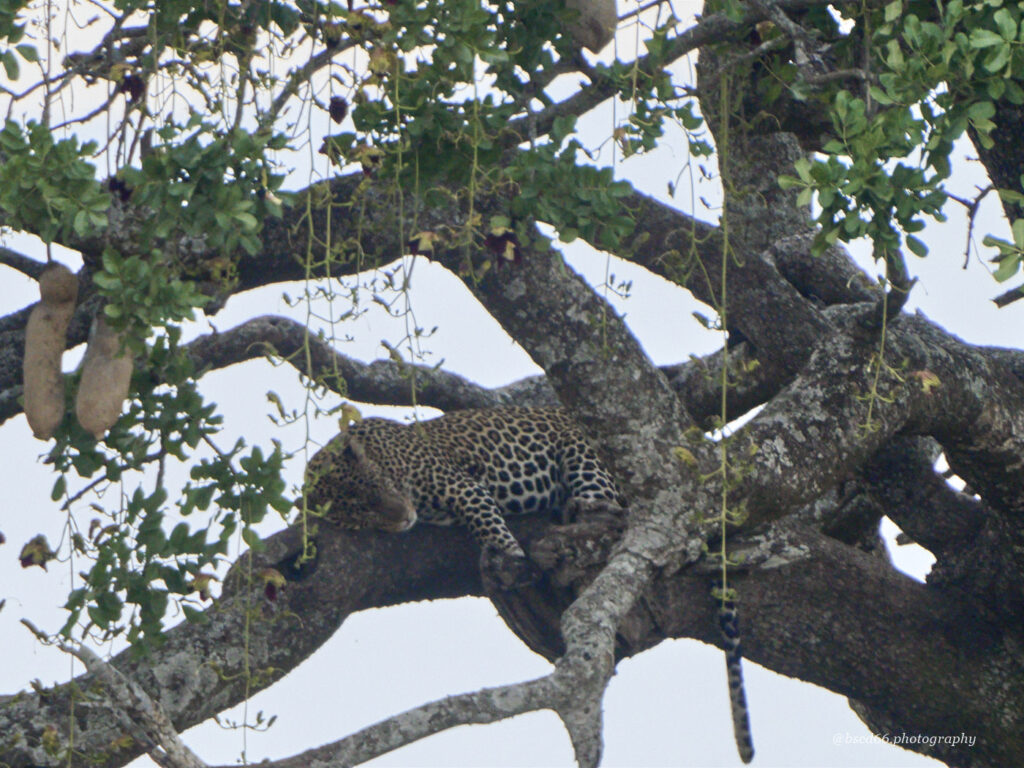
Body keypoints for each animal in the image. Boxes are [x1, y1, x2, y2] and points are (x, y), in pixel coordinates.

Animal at [303, 405, 622, 561]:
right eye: (362, 514)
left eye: (378, 484)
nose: (404, 517)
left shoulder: (459, 483)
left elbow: (482, 518)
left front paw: (509, 551)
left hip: (582, 450)